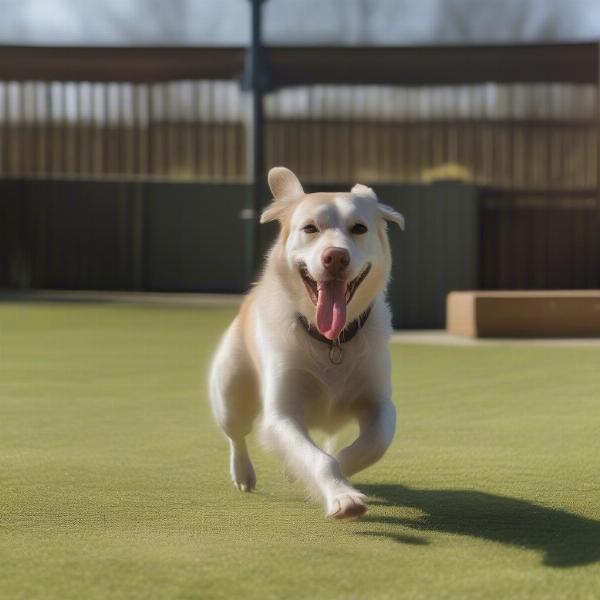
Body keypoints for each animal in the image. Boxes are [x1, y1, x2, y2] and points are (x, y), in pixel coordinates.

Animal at [210, 166, 404, 516]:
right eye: (310, 228)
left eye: (359, 228)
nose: (336, 257)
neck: (331, 342)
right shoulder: (282, 415)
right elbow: (319, 460)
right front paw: (341, 495)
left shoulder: (380, 404)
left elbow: (371, 445)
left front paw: (333, 478)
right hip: (231, 396)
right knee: (236, 436)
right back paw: (243, 473)